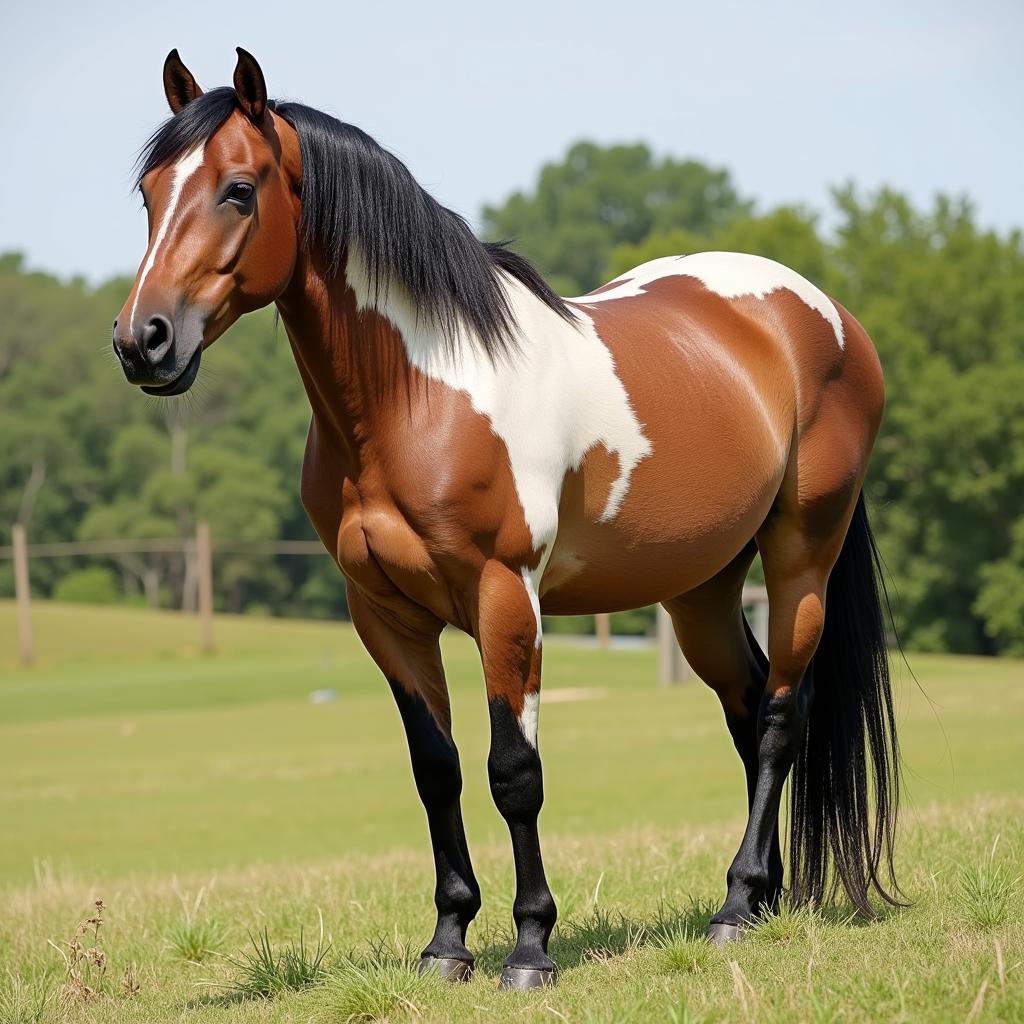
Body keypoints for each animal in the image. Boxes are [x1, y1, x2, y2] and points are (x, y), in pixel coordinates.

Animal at [110, 49, 897, 991]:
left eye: (236, 190)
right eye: (149, 192)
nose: (144, 340)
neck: (422, 395)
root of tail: (821, 312)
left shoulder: (505, 598)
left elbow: (513, 772)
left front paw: (530, 947)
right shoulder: (385, 615)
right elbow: (437, 772)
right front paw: (447, 942)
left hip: (801, 554)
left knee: (780, 717)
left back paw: (738, 908)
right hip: (700, 589)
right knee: (745, 709)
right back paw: (760, 895)